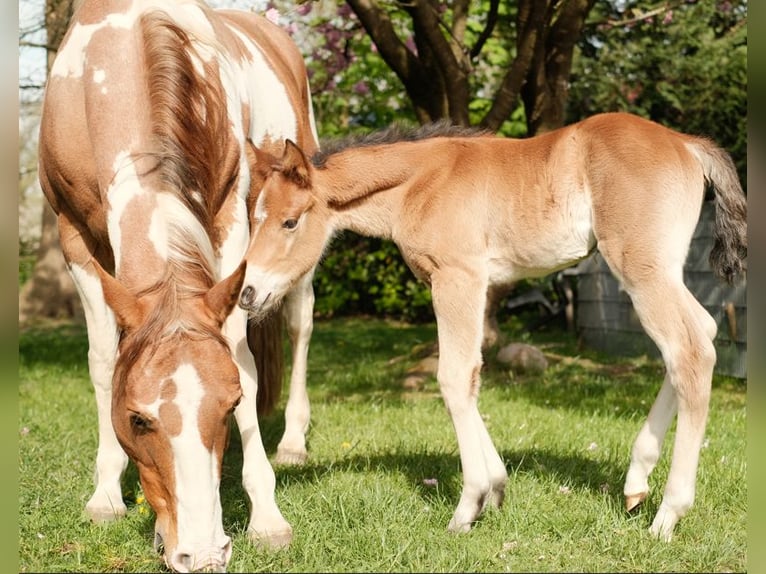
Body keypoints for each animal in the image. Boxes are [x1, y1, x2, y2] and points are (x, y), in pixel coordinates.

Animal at [38, 1, 319, 570]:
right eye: (136, 419)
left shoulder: (231, 219)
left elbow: (242, 358)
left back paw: (293, 442)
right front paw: (106, 495)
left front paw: (268, 517)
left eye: (230, 406)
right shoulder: (72, 236)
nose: (202, 554)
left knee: (300, 322)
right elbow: (104, 360)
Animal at [237, 113, 747, 542]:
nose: (247, 294)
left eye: (289, 221)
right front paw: (497, 487)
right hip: (661, 270)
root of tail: (686, 142)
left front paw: (469, 505)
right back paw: (636, 481)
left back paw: (668, 514)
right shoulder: (467, 285)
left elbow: (453, 377)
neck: (422, 181)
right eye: (253, 219)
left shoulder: (457, 277)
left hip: (641, 268)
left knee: (689, 351)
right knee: (701, 333)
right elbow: (472, 376)